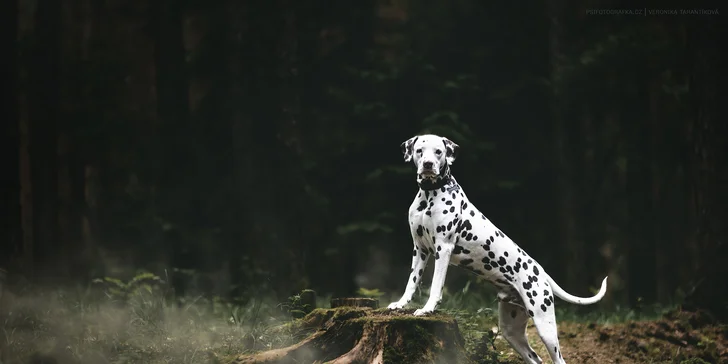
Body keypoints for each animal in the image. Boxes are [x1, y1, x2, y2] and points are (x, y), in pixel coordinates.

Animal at [386, 134, 608, 364]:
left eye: (438, 151)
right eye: (420, 150)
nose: (428, 164)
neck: (431, 194)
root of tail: (541, 272)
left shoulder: (443, 249)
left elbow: (435, 286)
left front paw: (427, 309)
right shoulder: (419, 249)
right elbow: (411, 282)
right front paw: (400, 304)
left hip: (545, 325)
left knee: (558, 359)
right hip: (511, 331)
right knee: (534, 358)